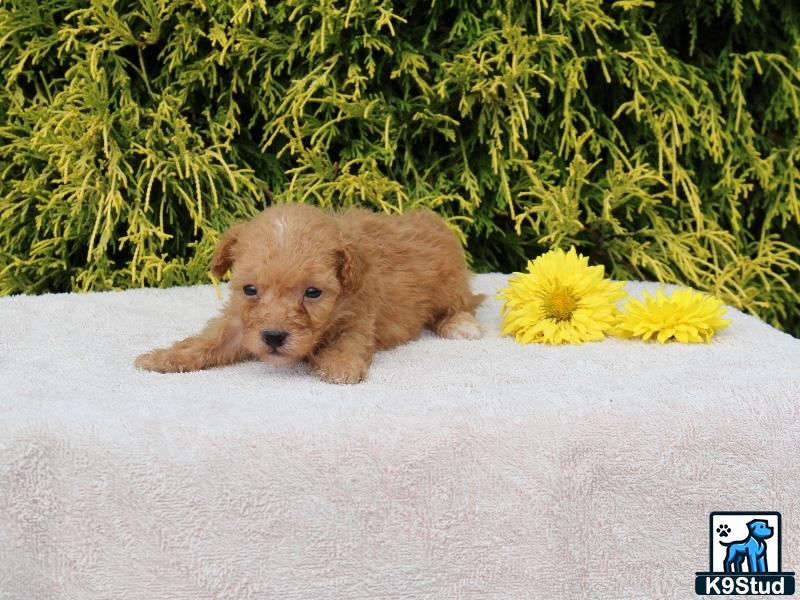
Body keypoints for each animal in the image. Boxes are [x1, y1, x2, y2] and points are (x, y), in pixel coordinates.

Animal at [135, 203, 484, 384]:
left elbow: (348, 340)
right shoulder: (241, 323)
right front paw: (163, 357)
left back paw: (461, 325)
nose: (274, 337)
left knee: (464, 304)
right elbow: (206, 341)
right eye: (250, 289)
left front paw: (340, 364)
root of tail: (435, 220)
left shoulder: (358, 316)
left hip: (450, 284)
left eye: (313, 292)